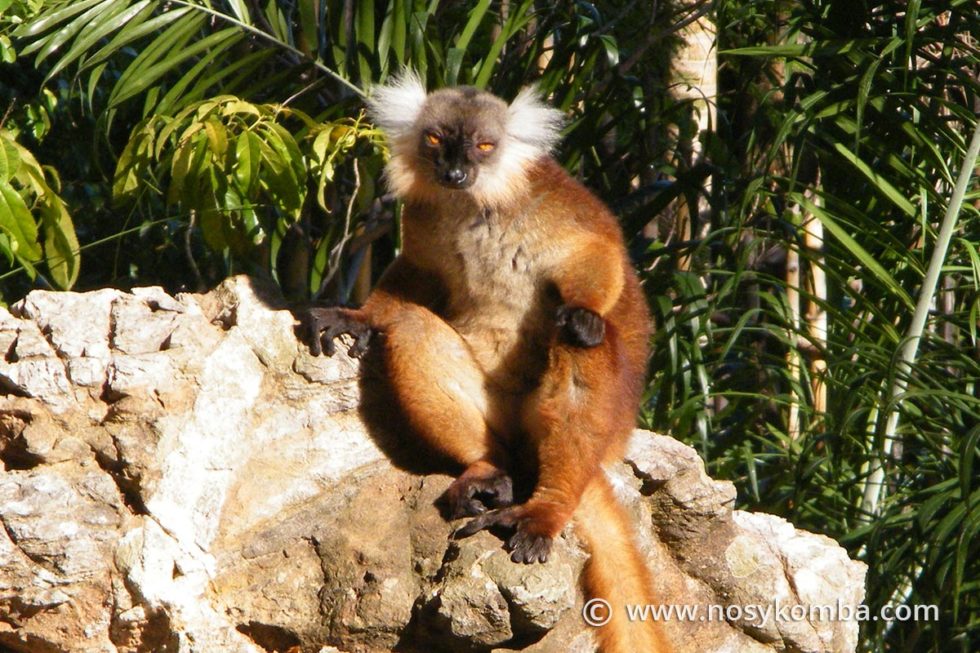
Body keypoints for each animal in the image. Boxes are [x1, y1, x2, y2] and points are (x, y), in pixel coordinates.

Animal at [306, 72, 671, 653]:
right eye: (436, 140)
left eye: (483, 145)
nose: (455, 174)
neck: (475, 204)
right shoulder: (425, 214)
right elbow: (417, 275)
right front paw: (356, 316)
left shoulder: (548, 204)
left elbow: (595, 257)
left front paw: (586, 311)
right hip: (499, 415)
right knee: (411, 329)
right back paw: (486, 470)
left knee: (579, 347)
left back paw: (543, 510)